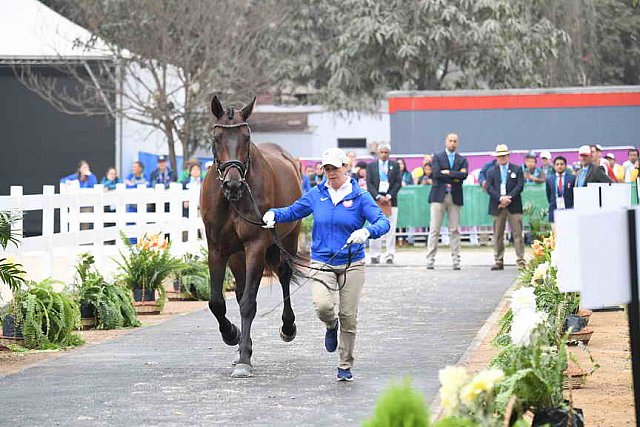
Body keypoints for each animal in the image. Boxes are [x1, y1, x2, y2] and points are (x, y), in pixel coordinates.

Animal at [200, 96, 302, 378]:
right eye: (217, 138)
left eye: (246, 137)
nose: (233, 185)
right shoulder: (217, 249)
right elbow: (217, 302)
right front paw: (232, 335)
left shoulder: (256, 246)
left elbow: (248, 303)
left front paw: (244, 358)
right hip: (237, 255)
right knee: (240, 289)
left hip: (288, 238)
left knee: (284, 274)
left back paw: (287, 327)